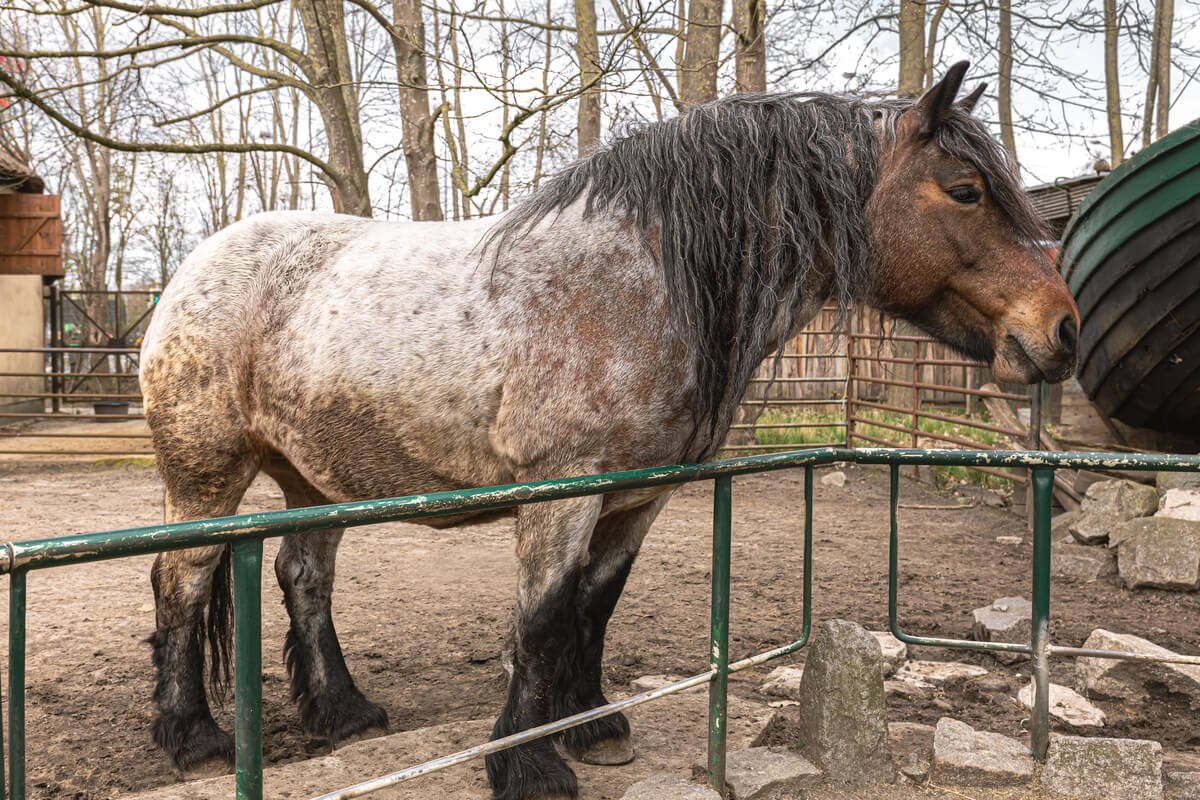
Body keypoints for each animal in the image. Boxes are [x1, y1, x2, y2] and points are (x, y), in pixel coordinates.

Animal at [139, 61, 1078, 800]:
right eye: (966, 191)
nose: (1061, 330)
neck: (644, 285)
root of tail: (192, 269)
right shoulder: (564, 492)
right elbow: (543, 618)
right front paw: (528, 765)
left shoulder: (637, 496)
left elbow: (596, 606)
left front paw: (592, 727)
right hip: (206, 475)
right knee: (180, 583)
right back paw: (194, 737)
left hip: (313, 479)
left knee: (304, 580)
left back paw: (343, 713)